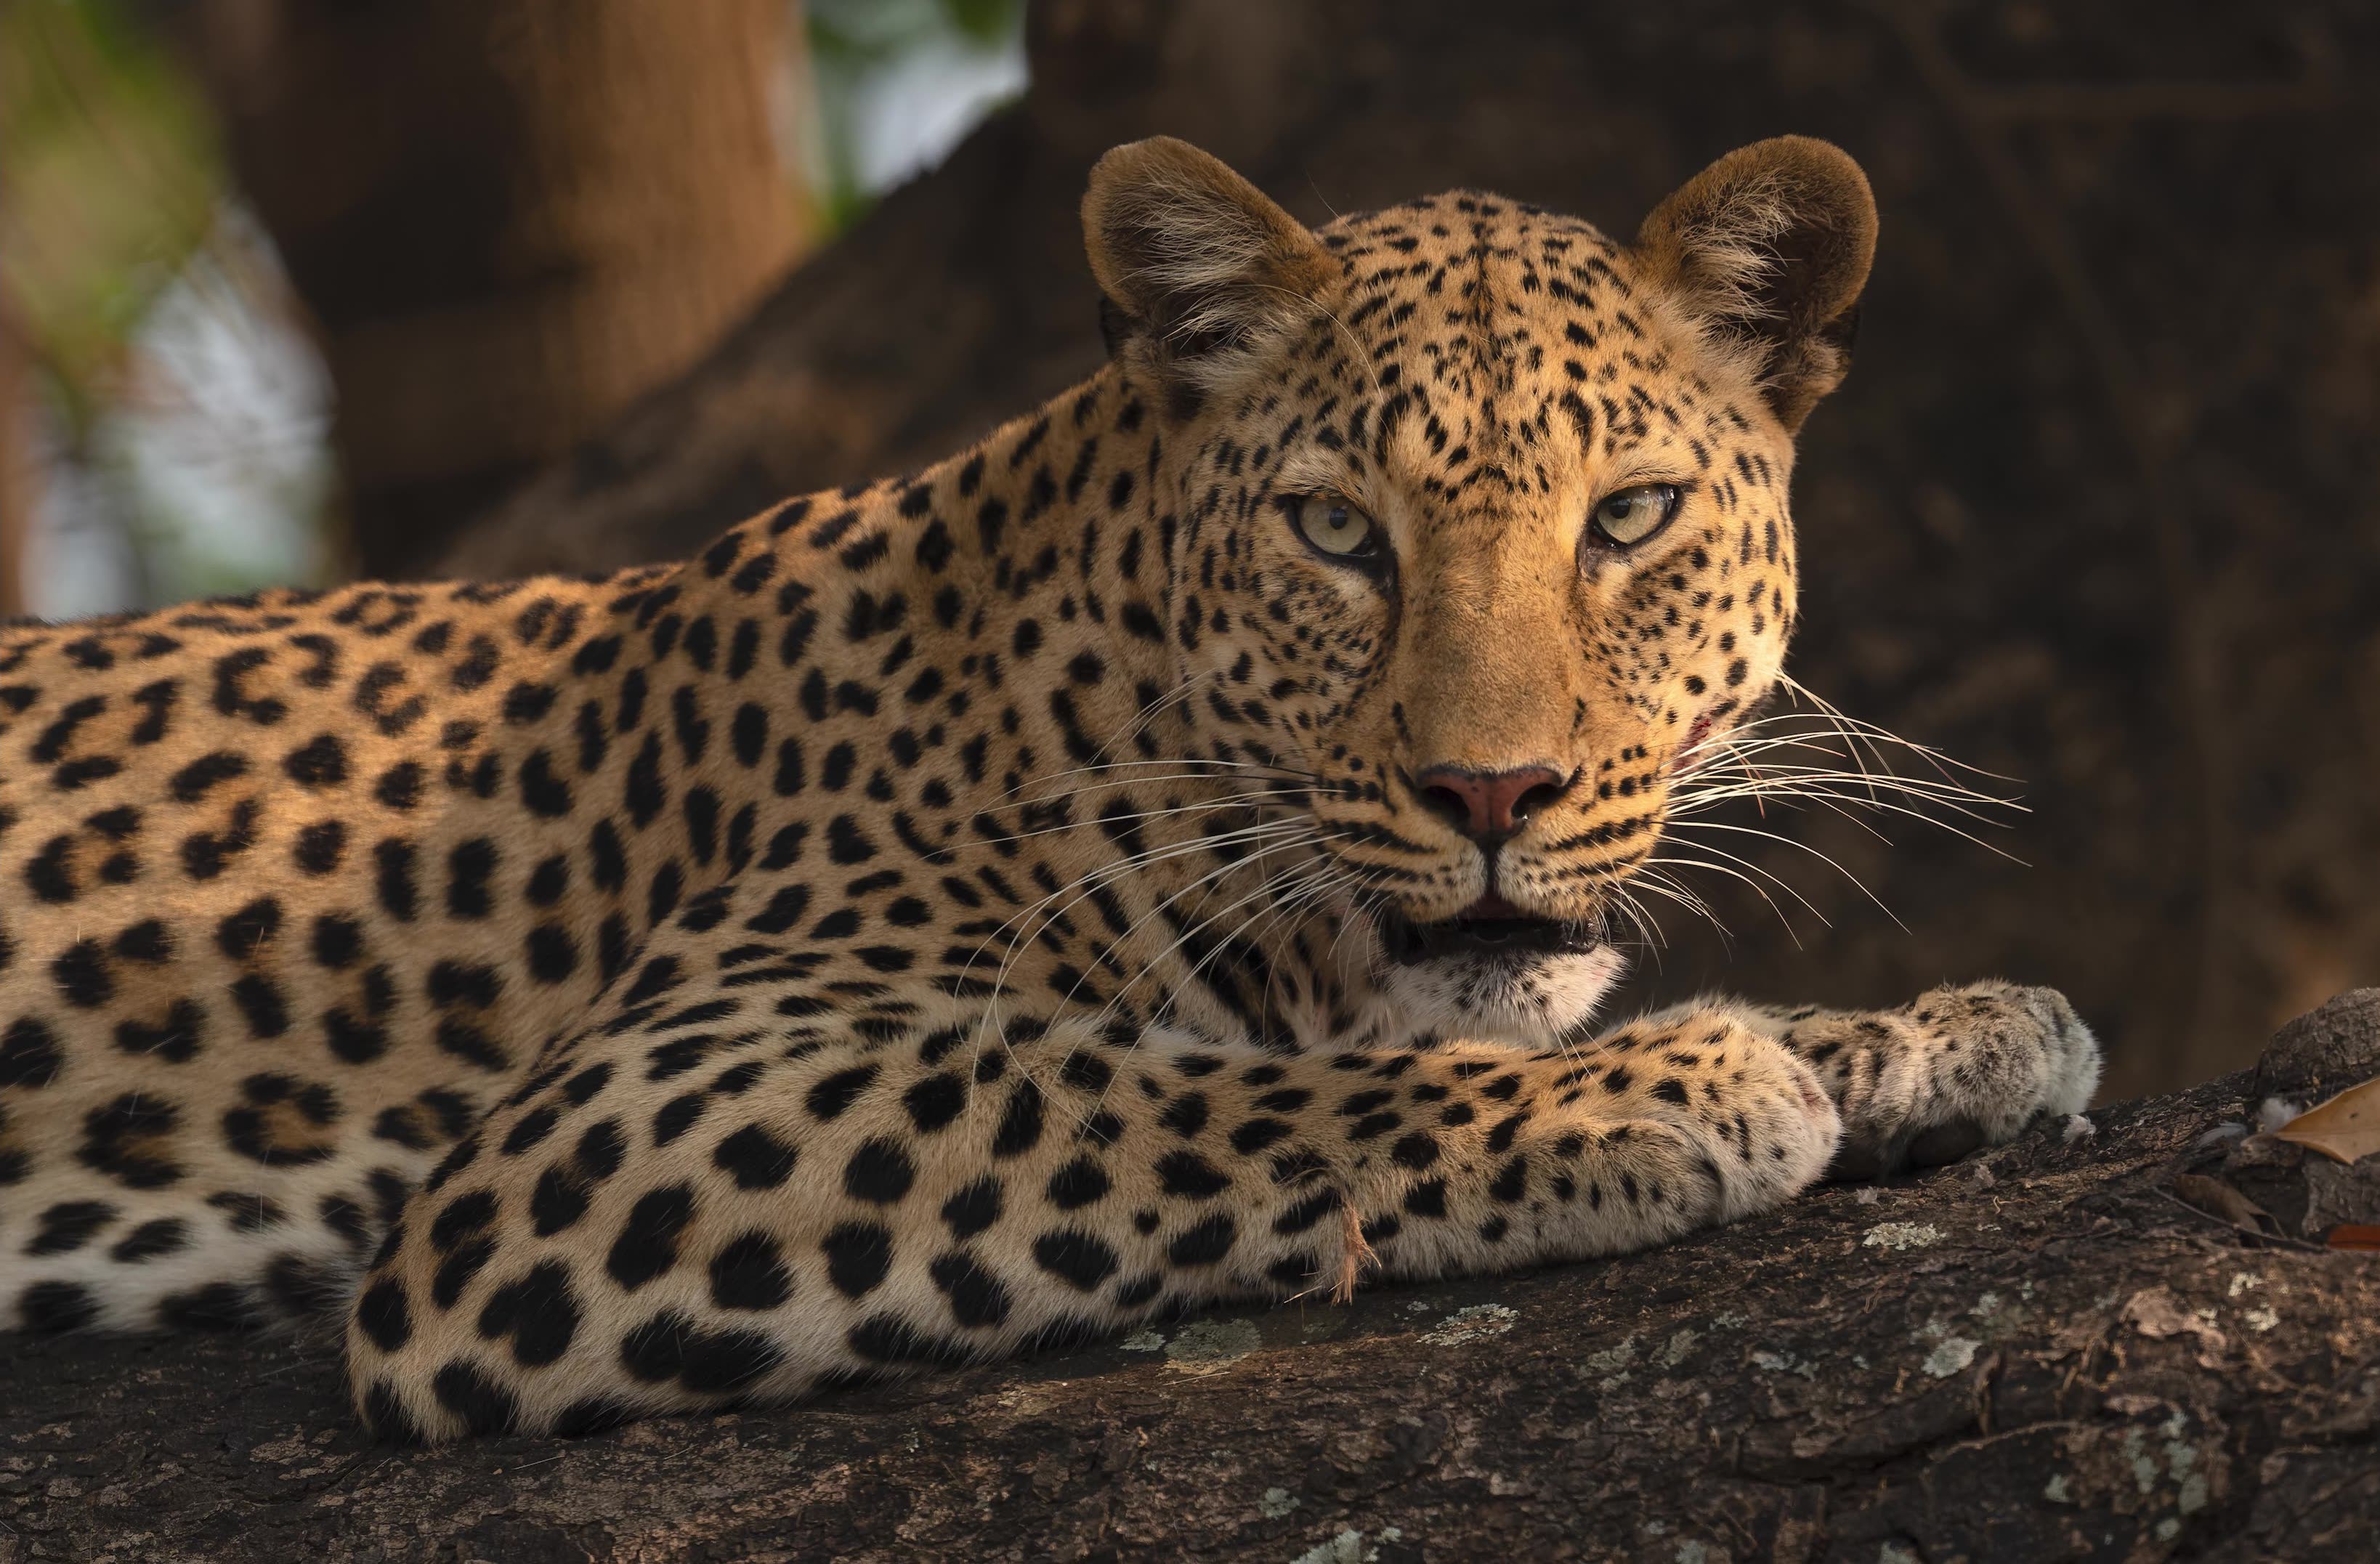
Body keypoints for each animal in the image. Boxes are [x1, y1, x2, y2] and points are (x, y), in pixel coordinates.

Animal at [0, 135, 2099, 1443]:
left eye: (1631, 519)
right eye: (1338, 532)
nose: (1491, 791)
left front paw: (1927, 1034)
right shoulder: (630, 1104)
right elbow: (1167, 1090)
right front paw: (1655, 1086)